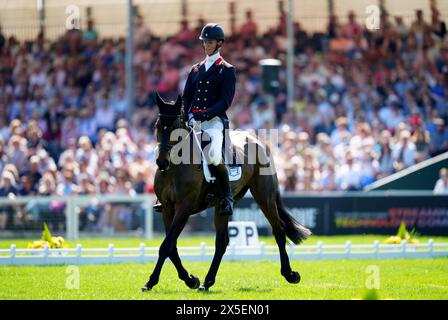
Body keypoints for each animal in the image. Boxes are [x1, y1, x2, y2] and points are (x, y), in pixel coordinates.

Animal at [142, 94, 310, 292]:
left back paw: (290, 274)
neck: (175, 168)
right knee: (221, 242)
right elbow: (171, 247)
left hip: (265, 197)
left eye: (176, 126)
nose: (162, 163)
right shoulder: (167, 208)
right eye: (157, 125)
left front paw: (151, 282)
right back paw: (207, 282)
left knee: (279, 231)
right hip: (223, 205)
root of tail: (258, 141)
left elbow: (166, 245)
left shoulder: (184, 207)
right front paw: (191, 279)